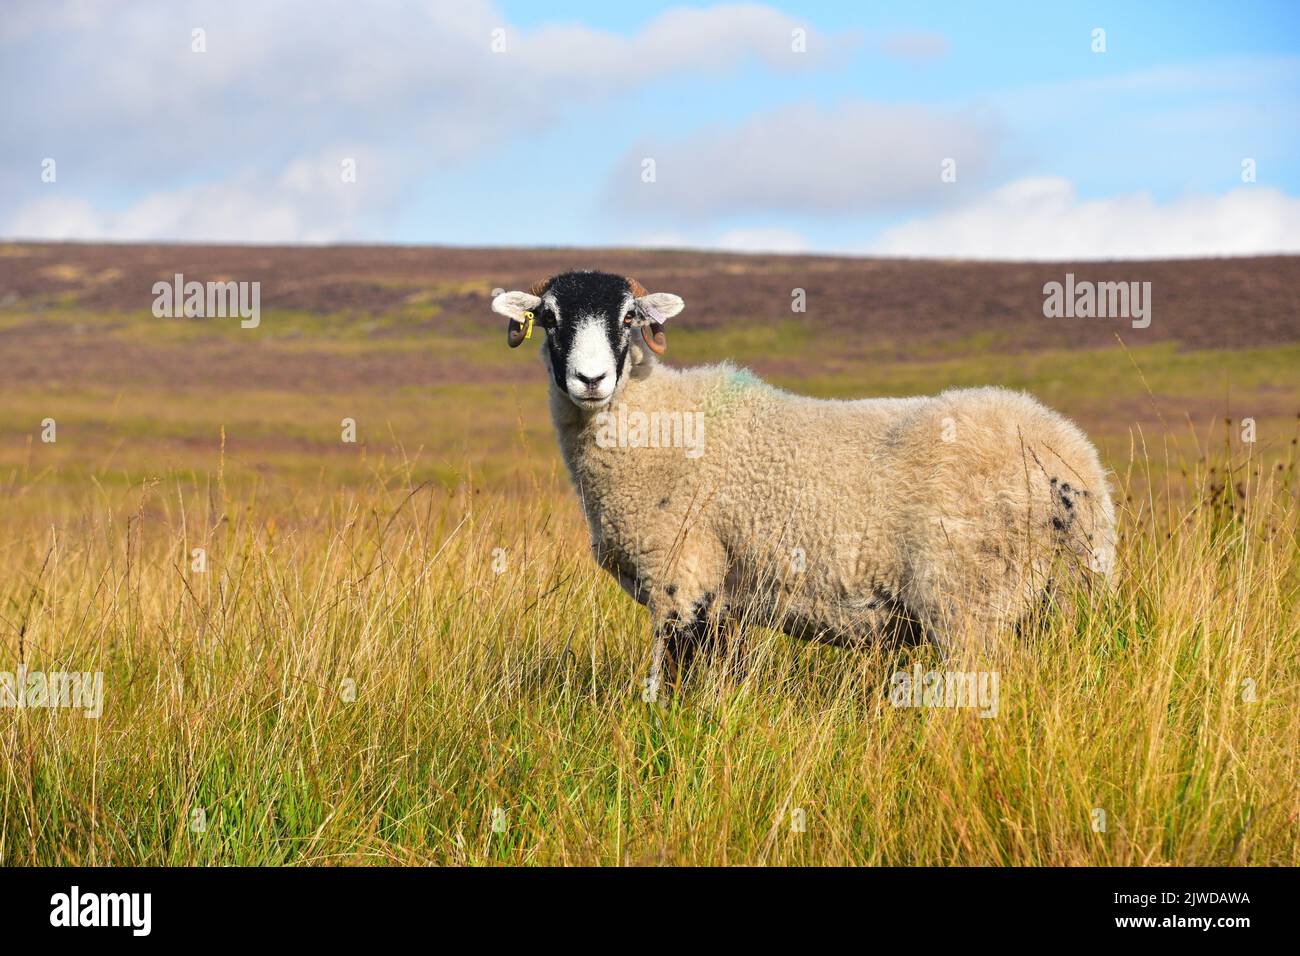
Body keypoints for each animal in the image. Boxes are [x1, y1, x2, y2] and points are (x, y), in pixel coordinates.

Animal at [491, 269, 1112, 686]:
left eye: (628, 318)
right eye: (549, 318)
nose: (591, 379)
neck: (656, 419)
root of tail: (1071, 460)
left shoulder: (683, 578)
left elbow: (673, 684)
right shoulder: (726, 598)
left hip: (968, 596)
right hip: (1055, 597)